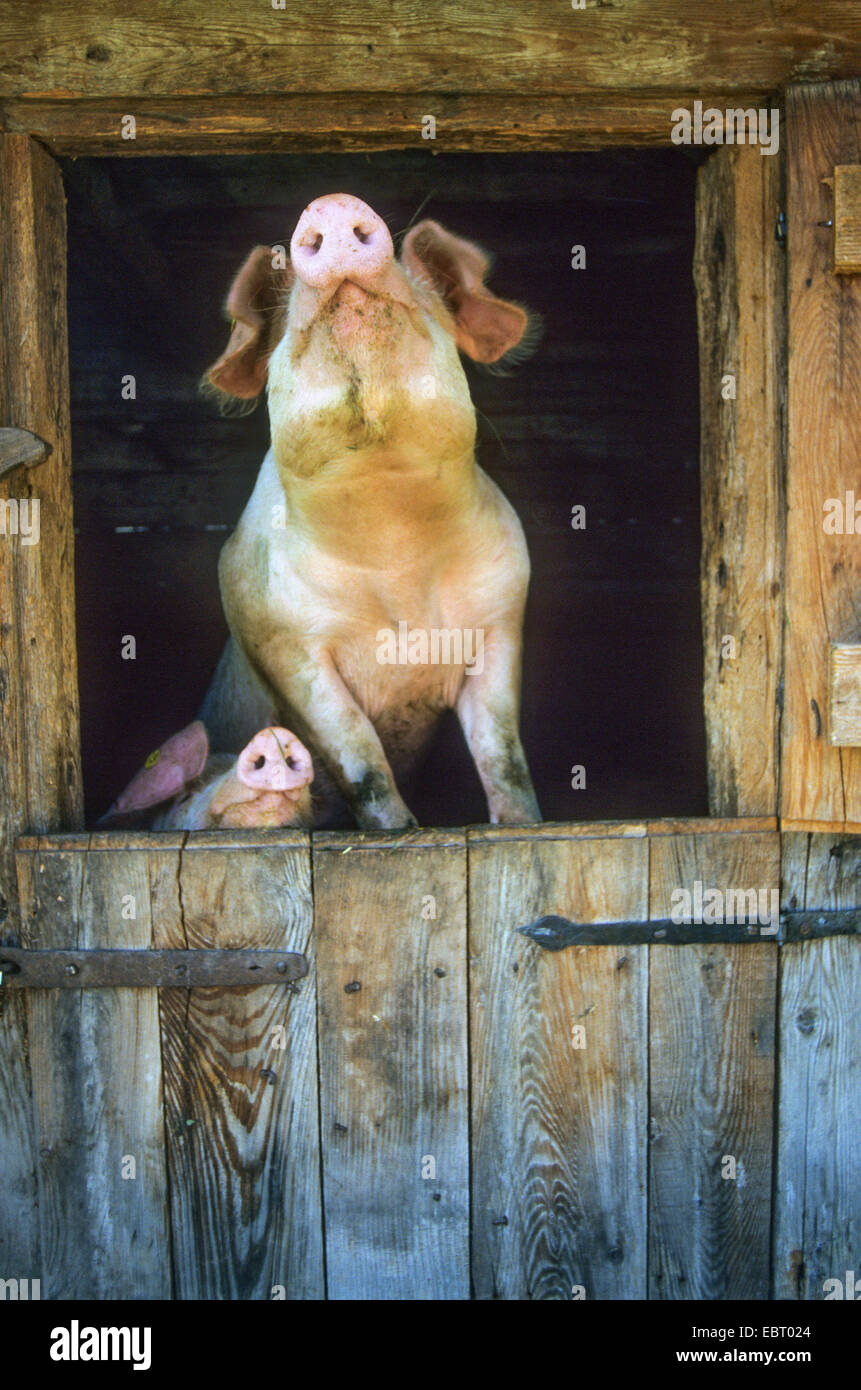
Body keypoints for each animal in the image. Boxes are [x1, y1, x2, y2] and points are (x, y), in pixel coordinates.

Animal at [198, 193, 542, 822]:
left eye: (420, 298)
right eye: (288, 325)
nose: (331, 202)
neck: (393, 539)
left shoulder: (502, 614)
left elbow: (503, 752)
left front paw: (521, 826)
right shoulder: (279, 638)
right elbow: (358, 753)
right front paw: (400, 828)